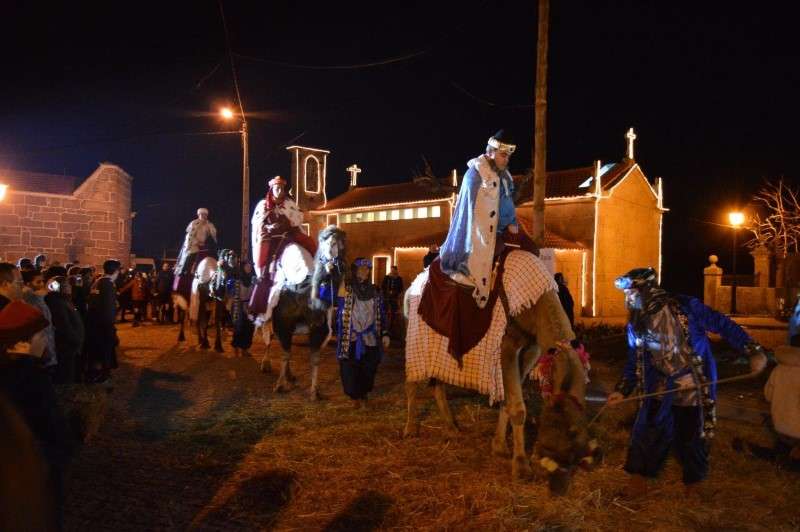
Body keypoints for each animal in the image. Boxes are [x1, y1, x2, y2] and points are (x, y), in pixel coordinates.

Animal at [256, 224, 344, 400]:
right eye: (324, 240)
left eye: (341, 242)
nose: (332, 262)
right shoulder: (283, 324)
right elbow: (285, 354)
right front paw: (279, 385)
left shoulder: (318, 330)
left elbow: (314, 359)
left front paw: (314, 391)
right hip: (271, 319)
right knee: (270, 338)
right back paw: (266, 364)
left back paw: (289, 374)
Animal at [404, 251, 596, 492]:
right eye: (564, 427)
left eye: (581, 424)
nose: (576, 462)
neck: (536, 303)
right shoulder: (507, 344)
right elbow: (518, 407)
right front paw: (521, 467)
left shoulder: (532, 347)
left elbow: (509, 398)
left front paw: (499, 446)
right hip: (416, 336)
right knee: (412, 383)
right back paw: (410, 429)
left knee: (437, 382)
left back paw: (450, 427)